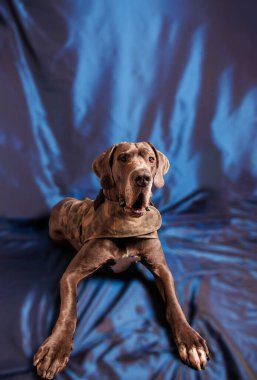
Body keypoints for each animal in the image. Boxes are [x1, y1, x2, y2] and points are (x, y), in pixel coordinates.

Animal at [33, 142, 209, 378]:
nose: (142, 178)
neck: (128, 223)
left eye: (151, 159)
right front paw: (56, 348)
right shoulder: (71, 274)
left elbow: (174, 304)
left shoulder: (161, 269)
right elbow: (68, 312)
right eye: (123, 159)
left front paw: (191, 341)